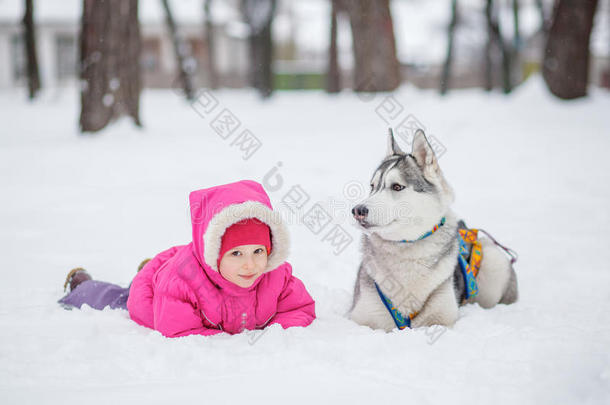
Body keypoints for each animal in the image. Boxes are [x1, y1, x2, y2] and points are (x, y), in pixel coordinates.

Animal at [350, 131, 516, 330]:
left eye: (397, 186)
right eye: (372, 187)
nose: (357, 210)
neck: (405, 249)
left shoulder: (442, 317)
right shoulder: (362, 316)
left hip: (493, 262)